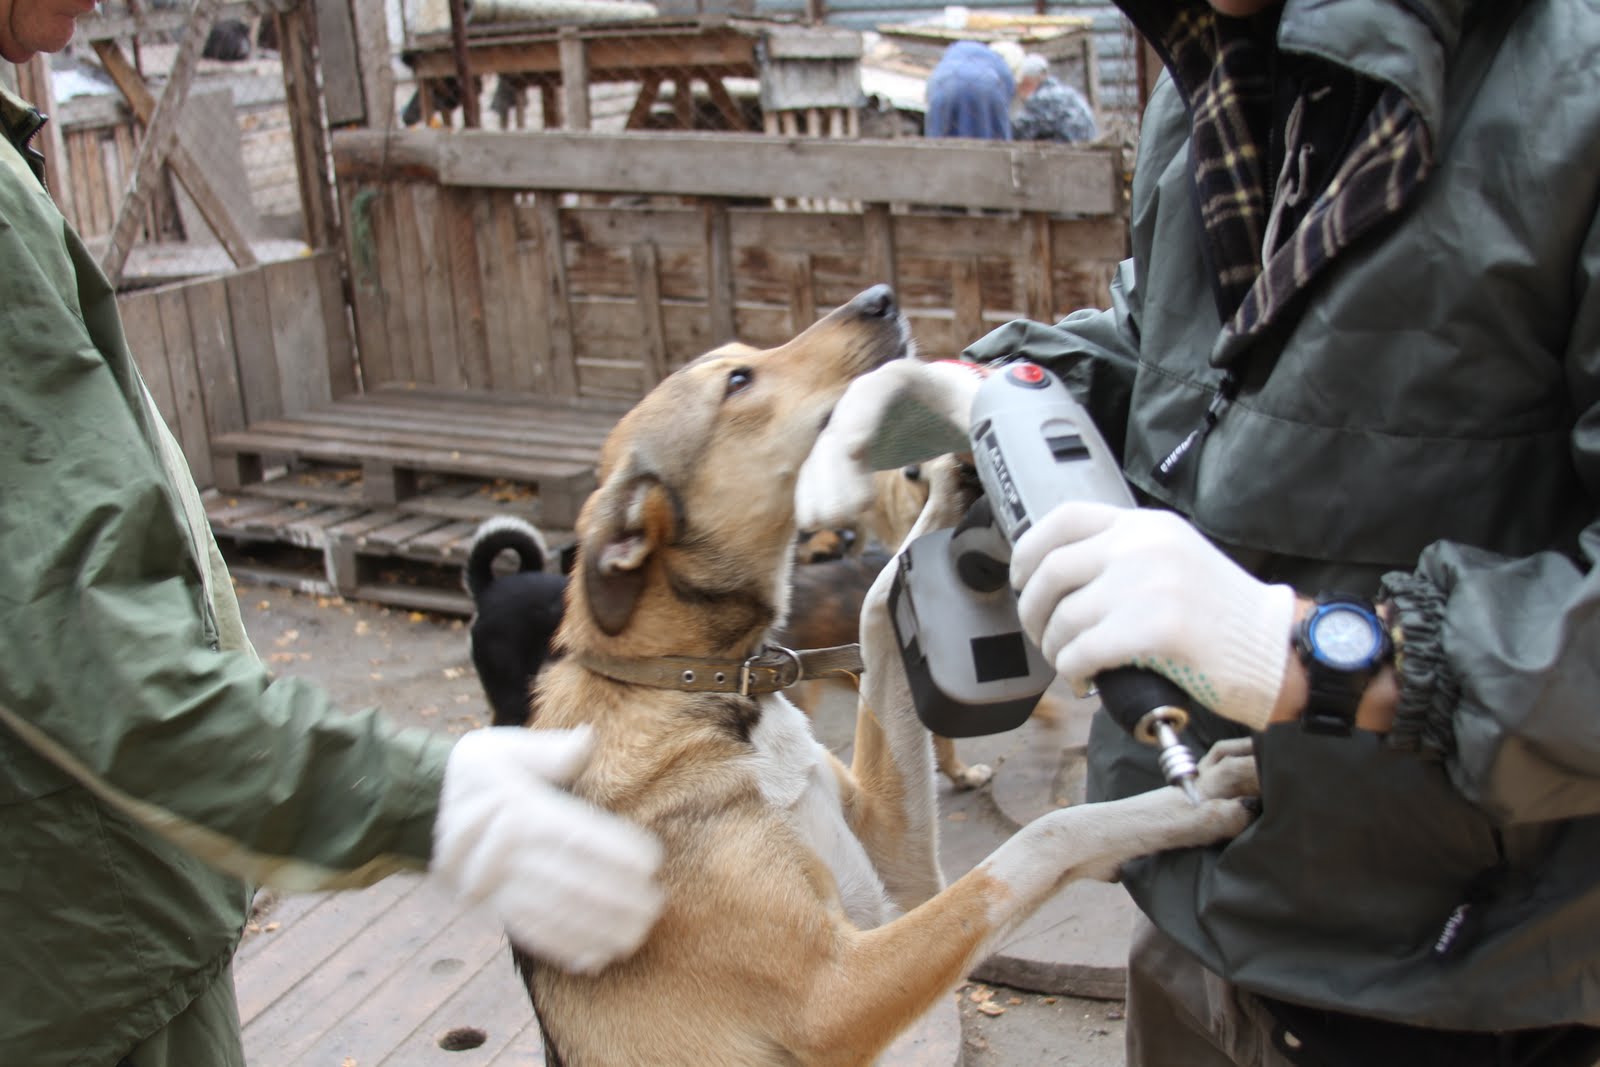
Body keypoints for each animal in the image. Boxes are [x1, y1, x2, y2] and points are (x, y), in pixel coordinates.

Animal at [508, 284, 1259, 1065]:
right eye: (738, 381)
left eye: (743, 358)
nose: (880, 297)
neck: (714, 690)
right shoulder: (834, 993)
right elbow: (1038, 840)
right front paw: (1192, 804)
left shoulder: (899, 874)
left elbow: (879, 603)